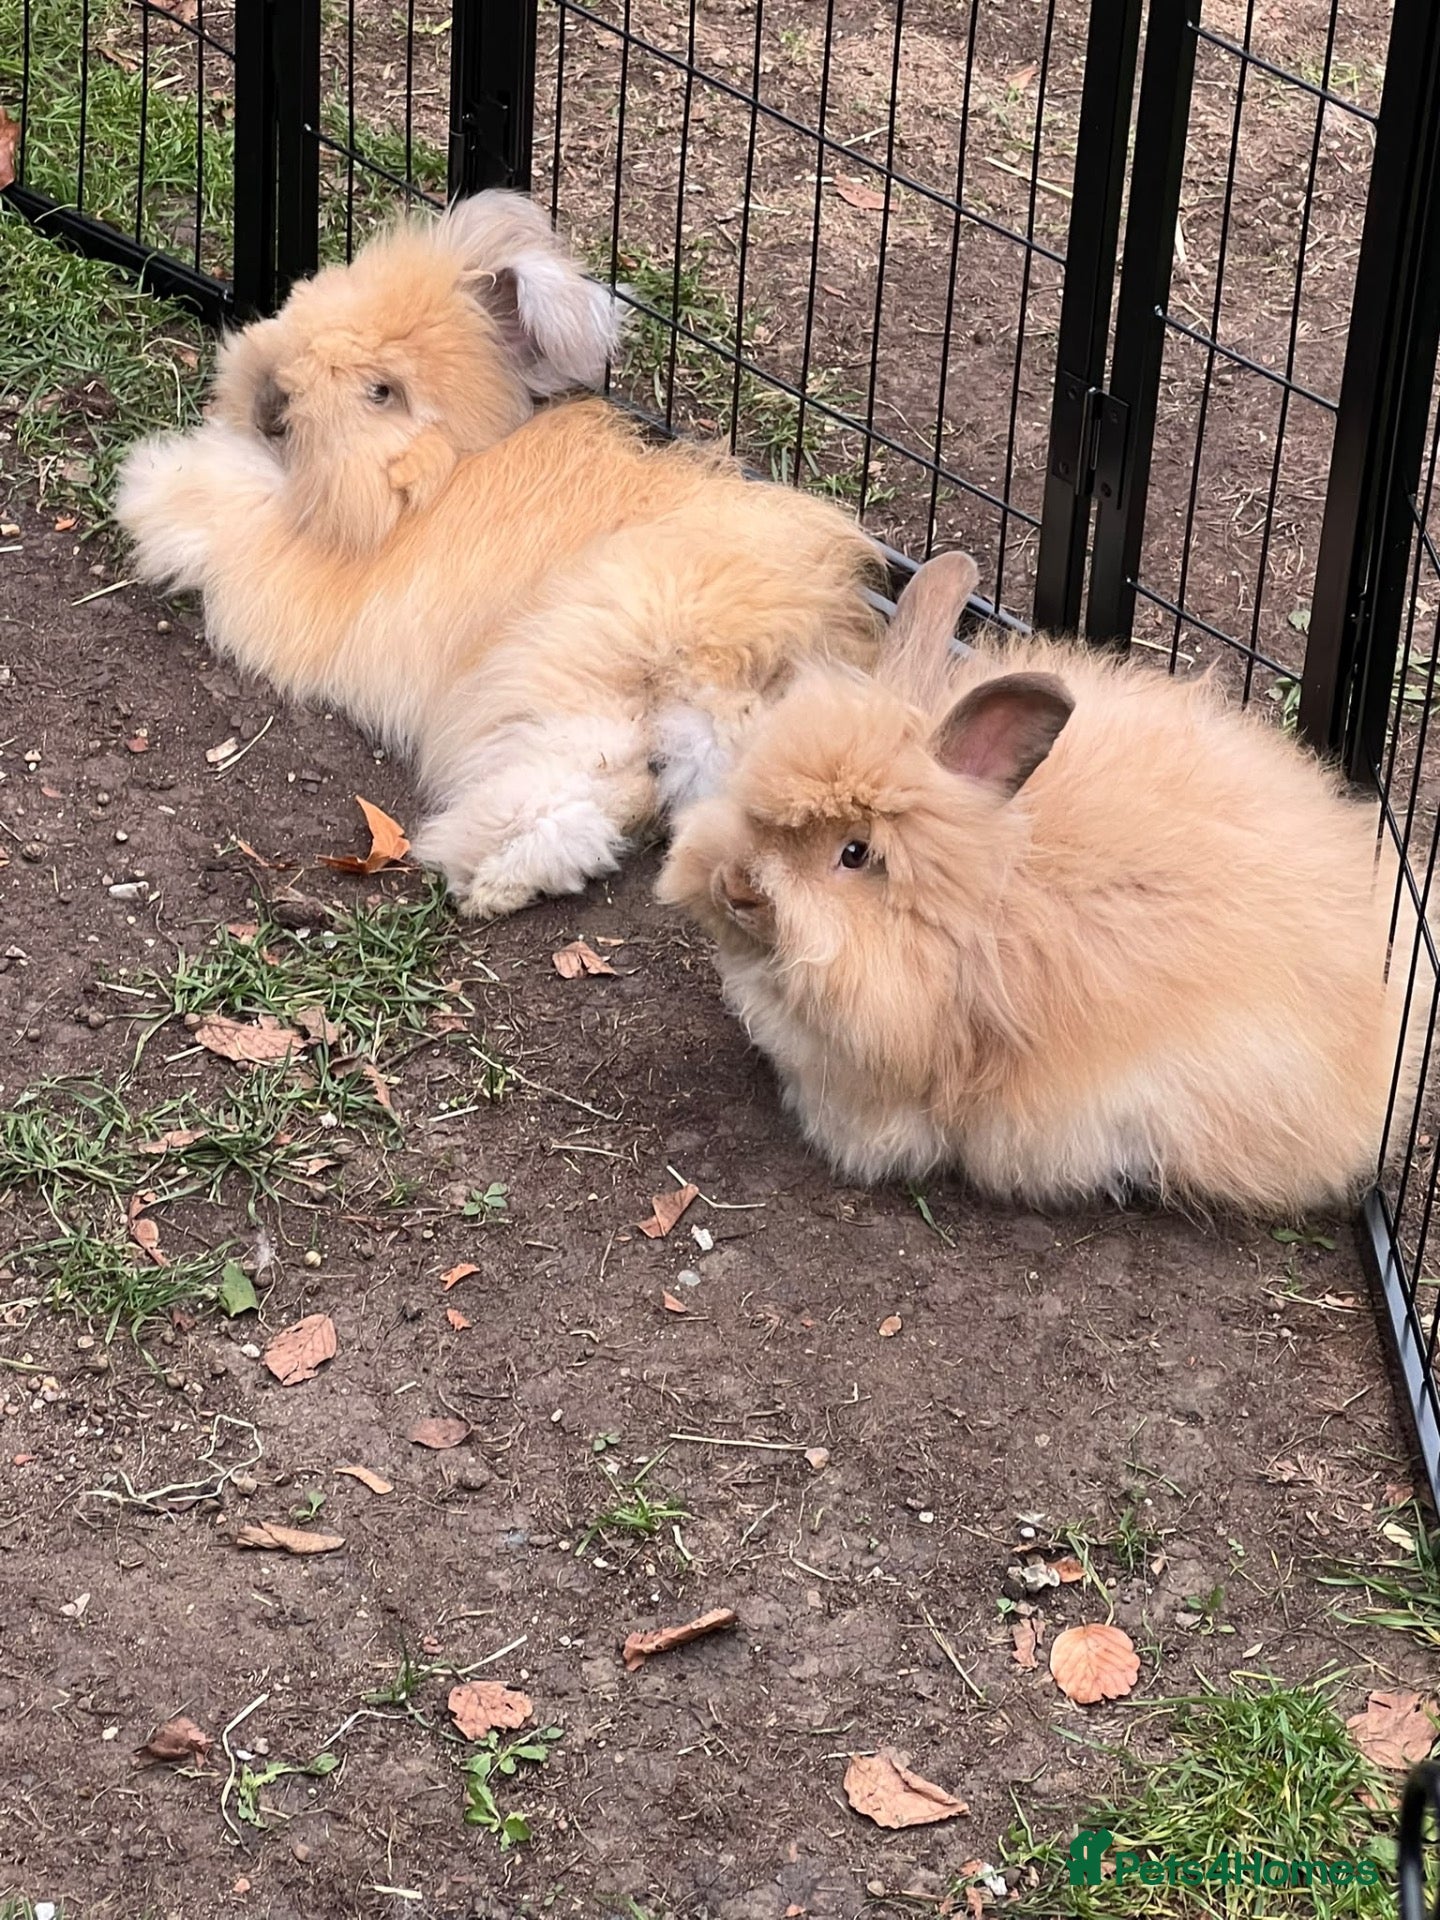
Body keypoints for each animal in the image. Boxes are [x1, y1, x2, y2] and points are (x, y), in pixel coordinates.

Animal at [114, 191, 883, 917]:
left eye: (382, 391)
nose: (270, 406)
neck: (443, 469)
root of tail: (777, 665)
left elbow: (225, 502)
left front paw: (152, 479)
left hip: (569, 656)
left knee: (580, 775)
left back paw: (480, 865)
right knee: (611, 795)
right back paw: (504, 880)